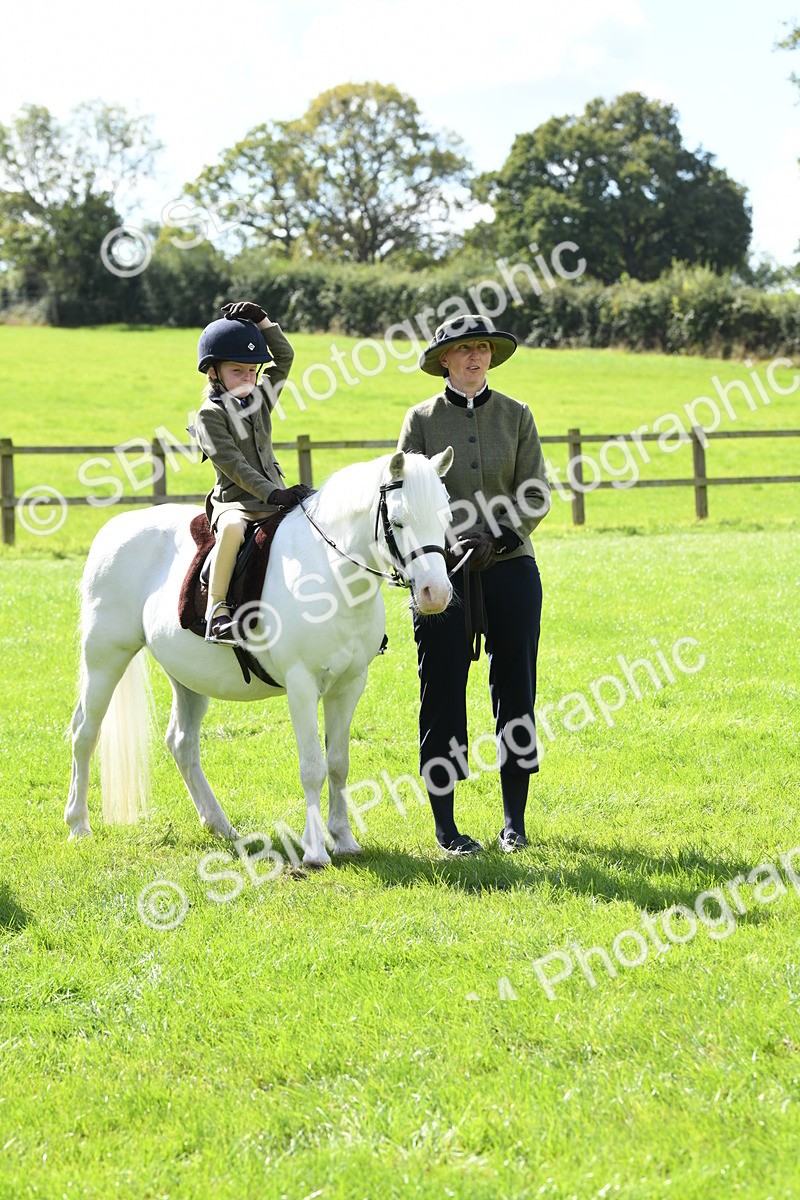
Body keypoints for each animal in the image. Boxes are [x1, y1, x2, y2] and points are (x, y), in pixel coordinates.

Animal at [65, 448, 454, 866]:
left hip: (187, 677)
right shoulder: (302, 685)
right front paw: (315, 851)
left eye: (446, 518)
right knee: (85, 732)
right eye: (398, 521)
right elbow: (313, 767)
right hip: (105, 657)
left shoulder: (348, 686)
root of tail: (114, 528)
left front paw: (344, 839)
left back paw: (220, 825)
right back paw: (78, 824)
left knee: (181, 743)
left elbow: (338, 764)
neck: (330, 572)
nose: (435, 593)